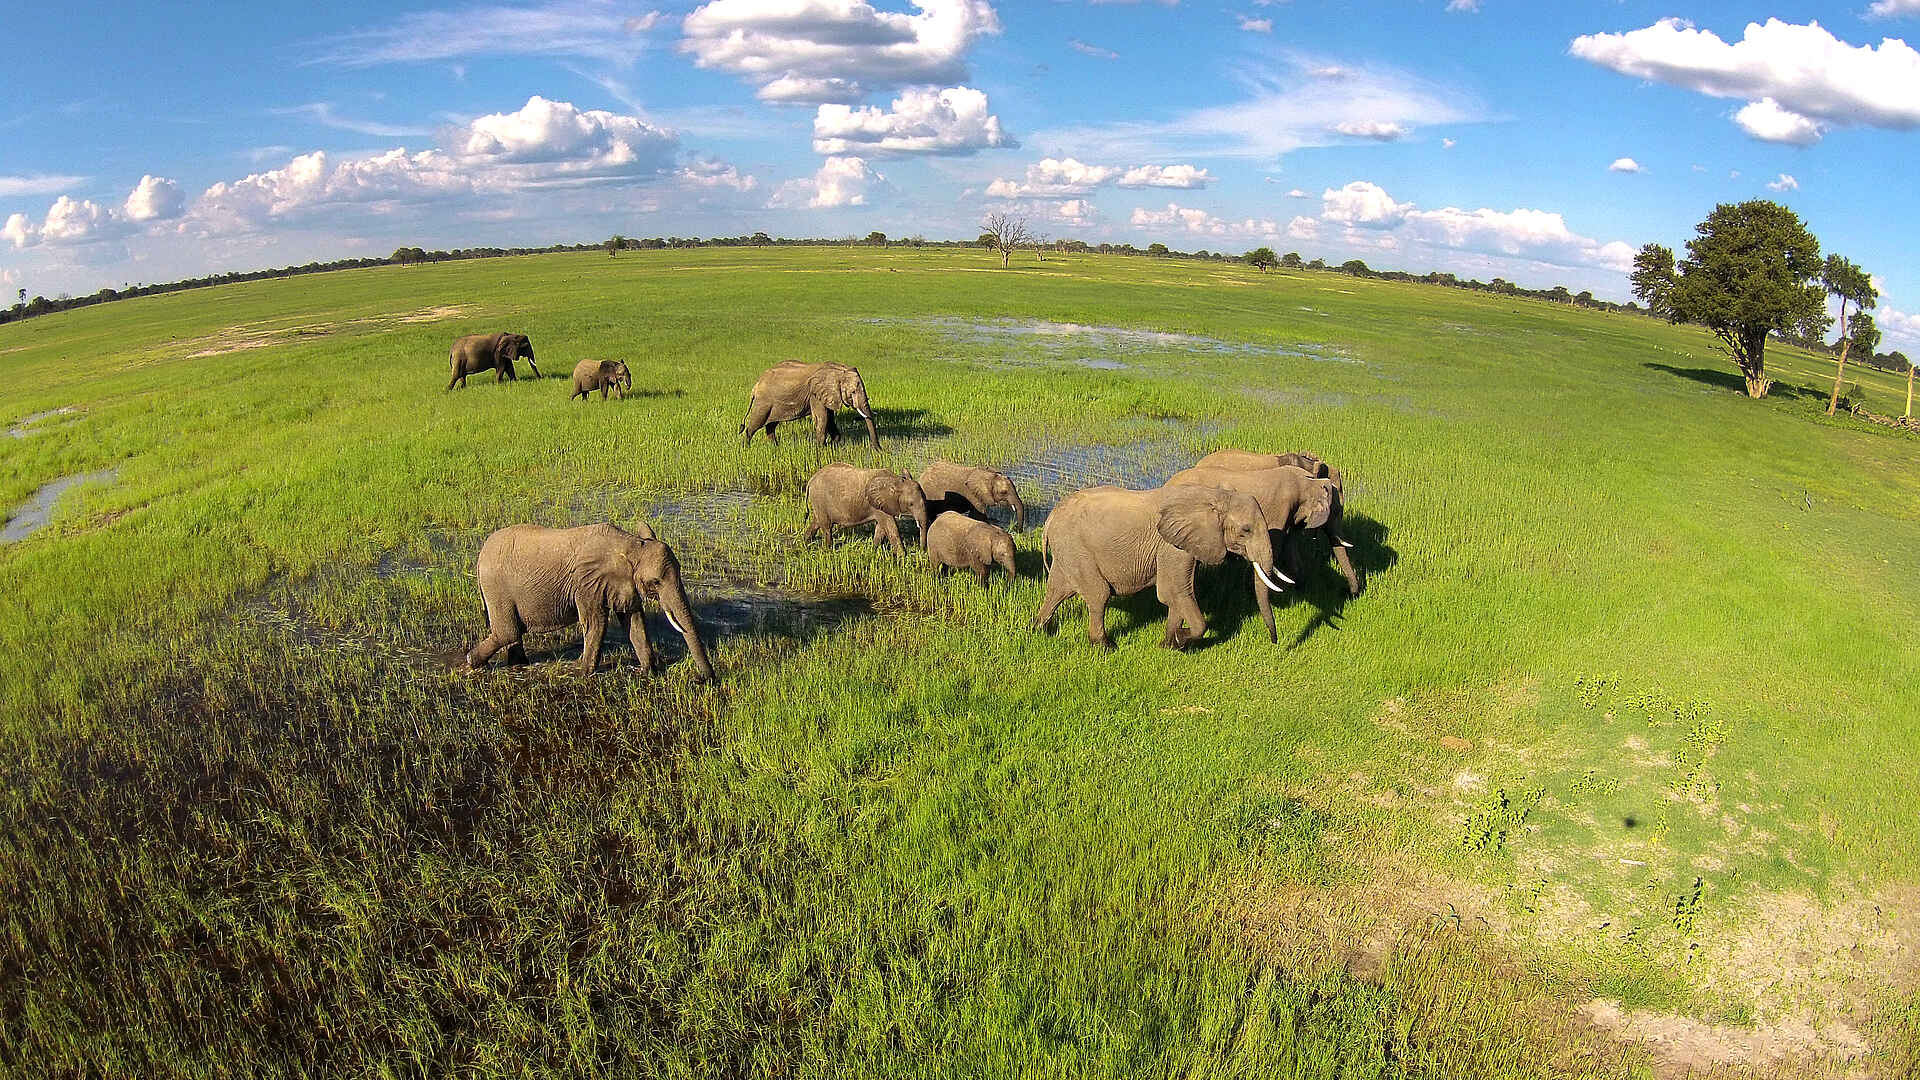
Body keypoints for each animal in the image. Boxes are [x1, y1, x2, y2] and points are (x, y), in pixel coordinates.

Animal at [465, 521, 713, 681]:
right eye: (656, 582)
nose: (704, 679)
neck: (631, 545)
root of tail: (481, 553)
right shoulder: (586, 583)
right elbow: (596, 623)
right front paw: (583, 673)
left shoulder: (622, 583)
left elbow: (634, 621)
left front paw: (649, 671)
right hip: (496, 587)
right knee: (508, 632)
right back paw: (472, 662)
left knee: (512, 632)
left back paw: (517, 665)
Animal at [741, 361, 880, 450]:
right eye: (853, 392)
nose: (879, 450)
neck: (838, 370)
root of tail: (756, 385)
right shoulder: (815, 394)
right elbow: (822, 418)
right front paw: (820, 449)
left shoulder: (828, 395)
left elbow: (830, 418)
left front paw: (834, 445)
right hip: (763, 402)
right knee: (756, 424)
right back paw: (745, 448)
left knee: (771, 426)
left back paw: (775, 447)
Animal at [1031, 484, 1290, 650]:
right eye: (1246, 530)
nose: (1275, 642)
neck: (1216, 496)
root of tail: (1051, 518)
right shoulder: (1171, 546)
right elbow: (1174, 592)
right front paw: (1181, 640)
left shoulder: (1183, 545)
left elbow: (1176, 594)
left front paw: (1168, 645)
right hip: (1076, 548)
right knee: (1098, 595)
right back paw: (1104, 646)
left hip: (1068, 550)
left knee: (1057, 590)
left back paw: (1036, 630)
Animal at [1166, 464, 1339, 643]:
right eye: (1336, 512)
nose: (1274, 641)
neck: (1308, 480)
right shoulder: (1281, 511)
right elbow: (1276, 552)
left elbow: (1290, 552)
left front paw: (1299, 590)